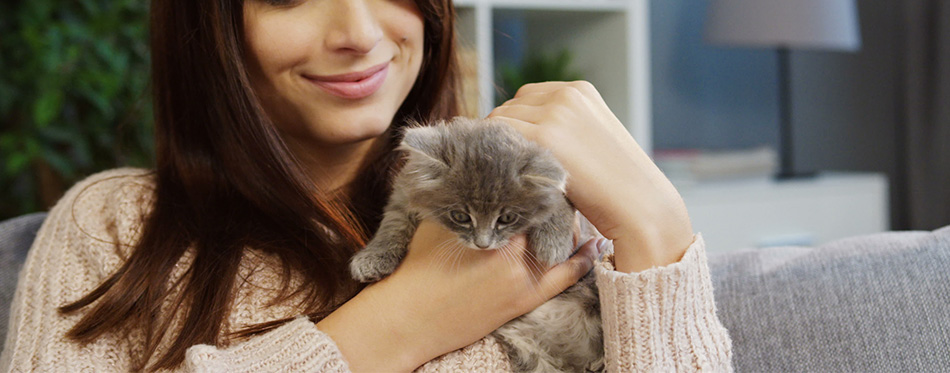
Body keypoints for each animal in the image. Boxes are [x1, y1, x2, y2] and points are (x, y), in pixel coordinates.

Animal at [350, 117, 604, 372]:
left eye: (507, 218)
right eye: (460, 216)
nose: (483, 244)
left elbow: (559, 204)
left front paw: (553, 244)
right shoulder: (403, 194)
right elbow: (393, 224)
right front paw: (372, 259)